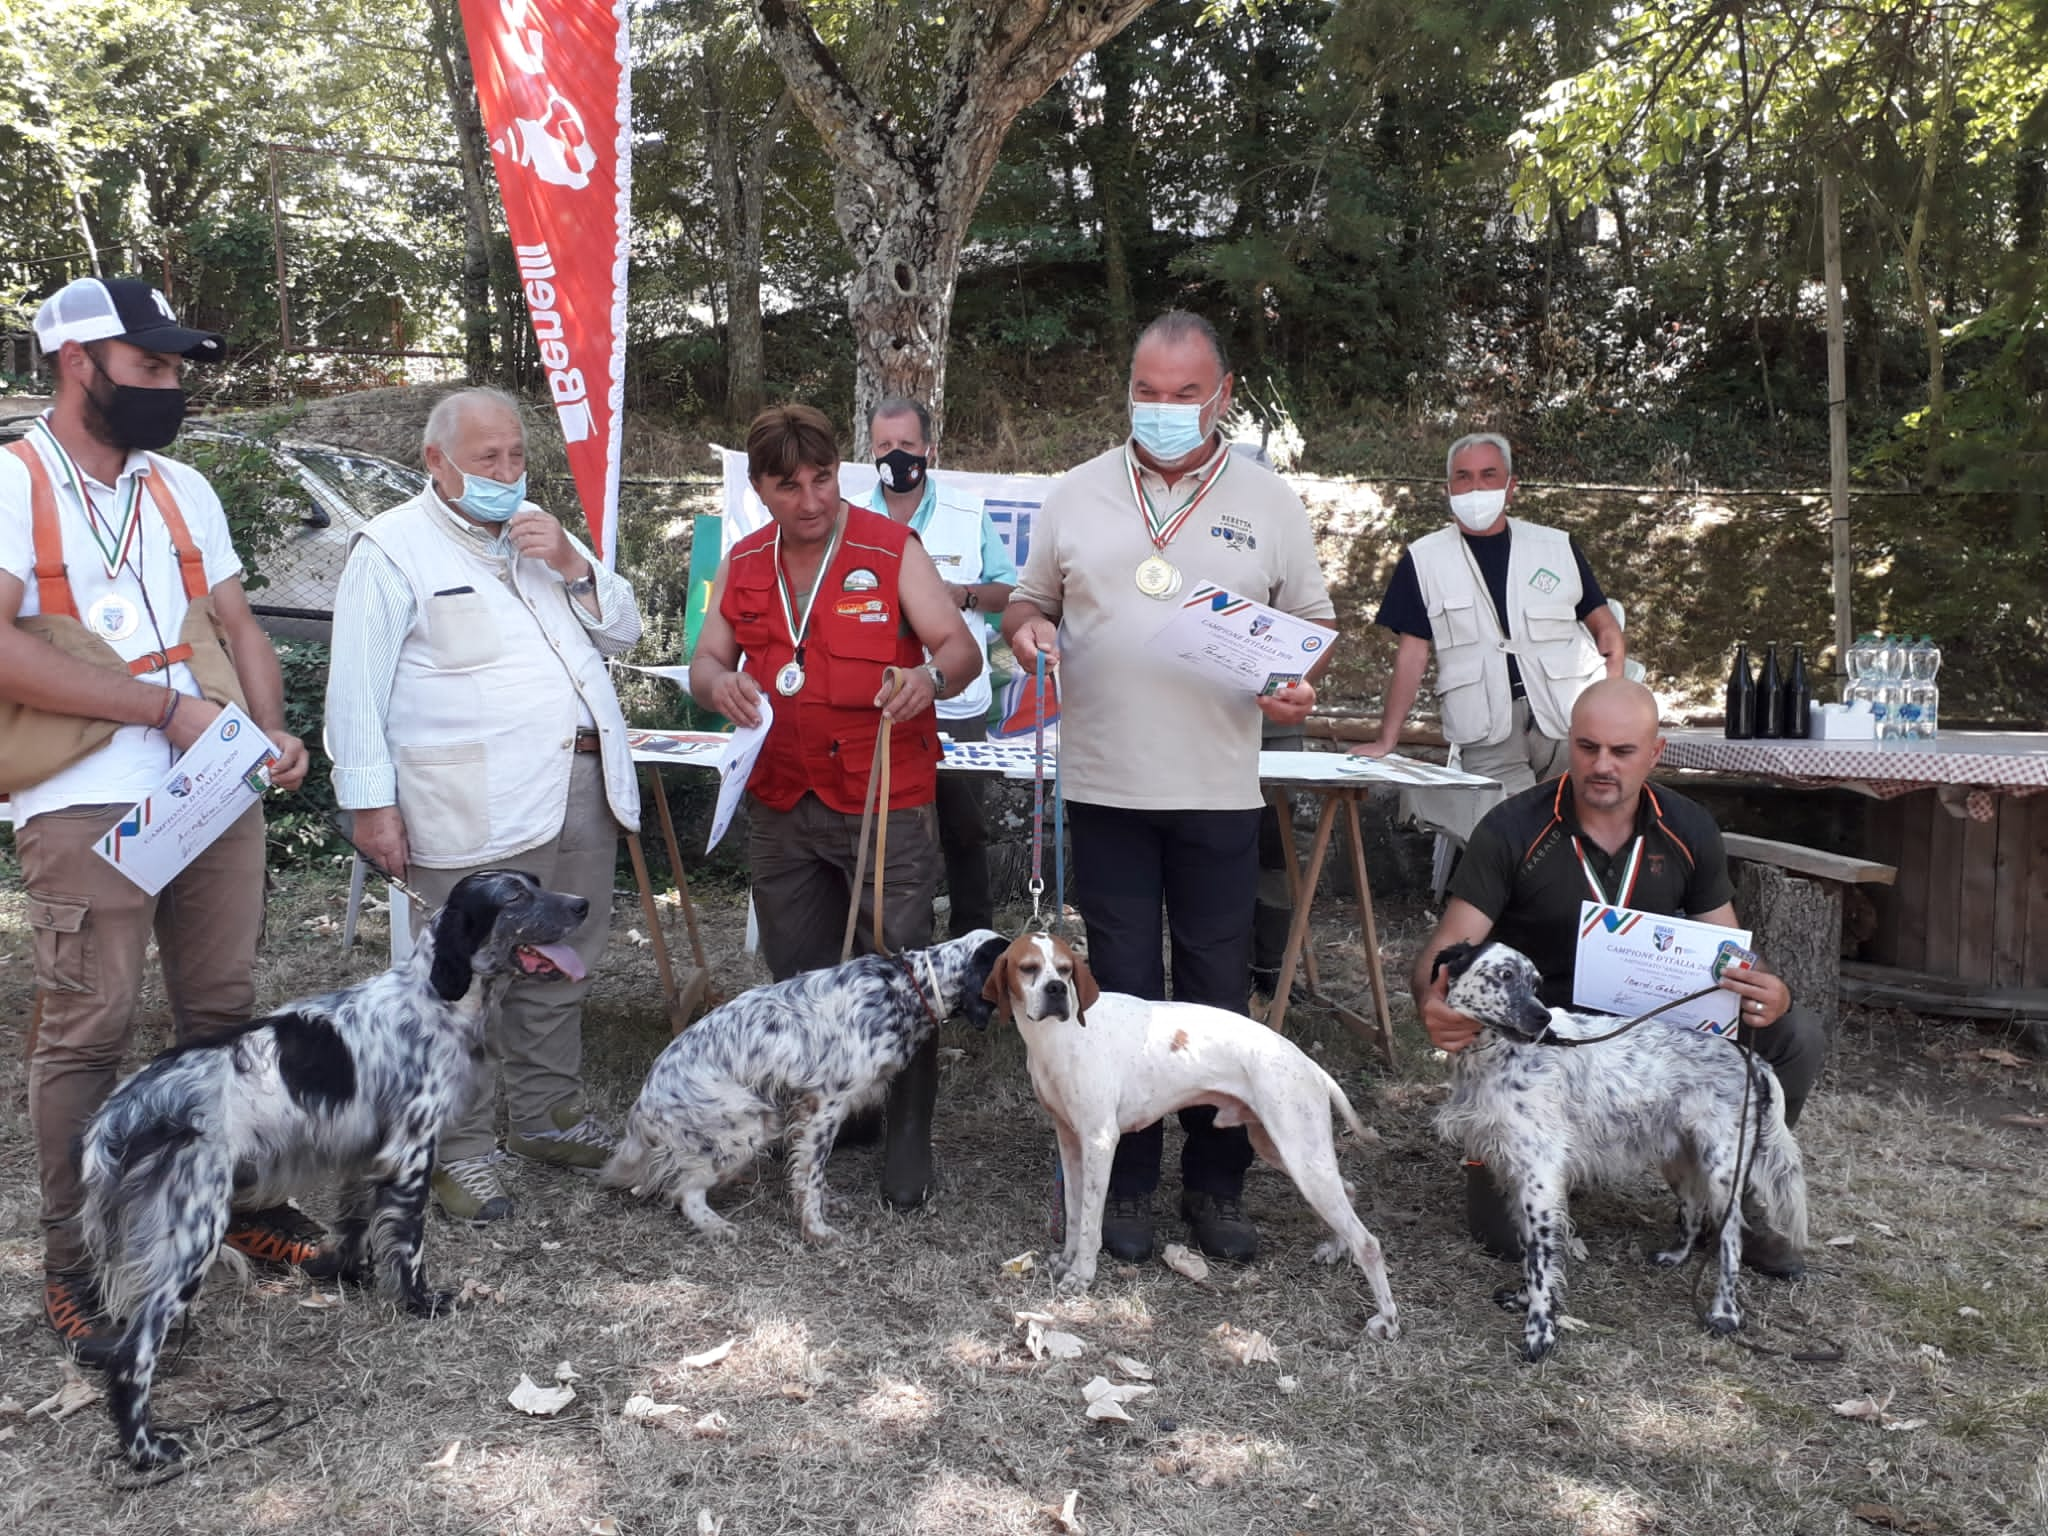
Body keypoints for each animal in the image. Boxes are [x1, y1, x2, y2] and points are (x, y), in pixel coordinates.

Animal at [598, 933, 1003, 1245]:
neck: (905, 987)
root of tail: (645, 1101)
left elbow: (810, 1172)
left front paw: (827, 1205)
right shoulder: (824, 1106)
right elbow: (811, 1176)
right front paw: (817, 1230)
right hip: (745, 1125)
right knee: (682, 1190)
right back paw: (717, 1226)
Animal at [978, 933, 1400, 1343]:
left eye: (1065, 970)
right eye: (1028, 968)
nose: (1055, 990)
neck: (1058, 1038)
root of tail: (1310, 1065)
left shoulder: (1099, 1141)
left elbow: (1090, 1223)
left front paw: (1082, 1275)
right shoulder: (1069, 1140)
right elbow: (1073, 1212)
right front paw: (1067, 1260)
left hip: (1301, 1157)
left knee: (1369, 1242)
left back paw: (1387, 1319)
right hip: (1286, 1151)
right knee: (1349, 1192)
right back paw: (1335, 1249)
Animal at [1433, 946, 1802, 1368]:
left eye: (1536, 984)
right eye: (1506, 976)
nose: (1543, 1017)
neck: (1497, 1057)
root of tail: (1752, 1060)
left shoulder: (1539, 1180)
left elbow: (1540, 1261)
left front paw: (1540, 1330)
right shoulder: (1516, 1176)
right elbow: (1529, 1253)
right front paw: (1525, 1299)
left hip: (1723, 1171)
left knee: (1730, 1239)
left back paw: (1724, 1312)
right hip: (1680, 1159)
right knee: (1693, 1210)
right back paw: (1676, 1256)